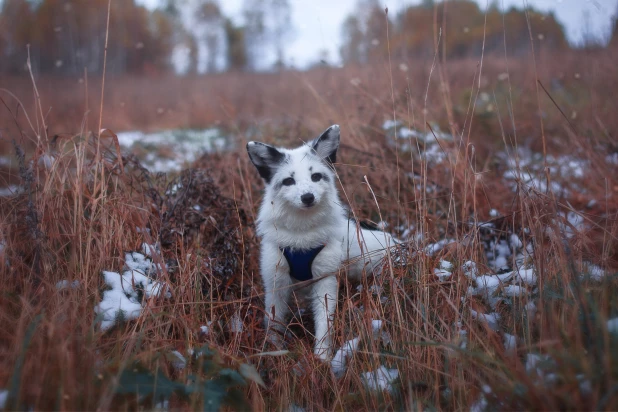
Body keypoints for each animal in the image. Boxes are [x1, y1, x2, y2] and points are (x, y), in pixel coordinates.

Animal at [245, 124, 394, 360]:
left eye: (316, 176)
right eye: (289, 181)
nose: (308, 197)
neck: (301, 238)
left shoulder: (325, 280)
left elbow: (325, 323)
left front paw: (322, 357)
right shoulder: (275, 282)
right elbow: (274, 321)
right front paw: (274, 351)